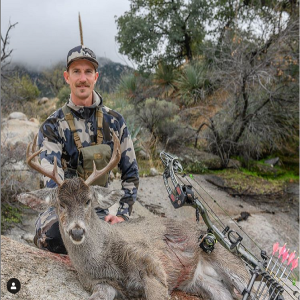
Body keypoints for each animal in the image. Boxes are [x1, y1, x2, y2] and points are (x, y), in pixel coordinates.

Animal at [21, 134, 251, 300]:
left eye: (88, 201)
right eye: (60, 204)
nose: (77, 231)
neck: (102, 259)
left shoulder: (151, 264)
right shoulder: (100, 284)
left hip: (234, 266)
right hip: (205, 283)